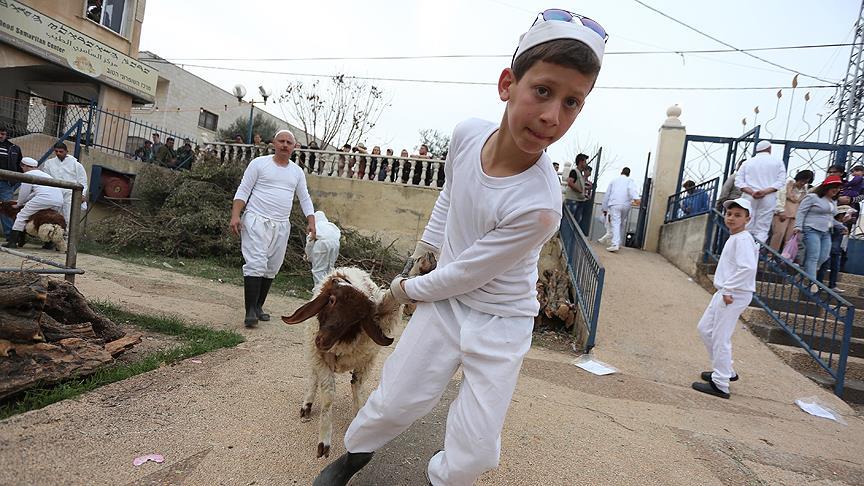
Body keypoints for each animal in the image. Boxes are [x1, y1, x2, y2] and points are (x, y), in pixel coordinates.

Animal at [284, 266, 404, 460]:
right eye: (332, 300)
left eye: (358, 318)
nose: (322, 341)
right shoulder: (320, 358)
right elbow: (328, 396)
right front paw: (324, 442)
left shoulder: (365, 362)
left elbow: (357, 386)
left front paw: (359, 416)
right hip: (312, 351)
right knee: (312, 377)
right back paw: (307, 405)